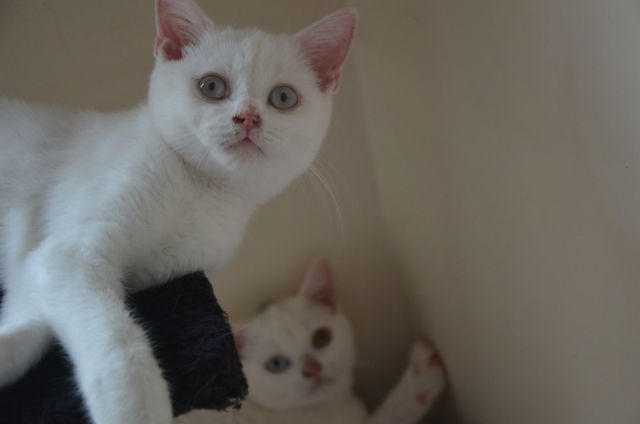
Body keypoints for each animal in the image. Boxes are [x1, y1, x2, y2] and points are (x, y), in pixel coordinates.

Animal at [0, 1, 358, 422]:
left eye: (283, 97)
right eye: (212, 87)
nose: (248, 117)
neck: (200, 194)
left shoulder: (163, 269)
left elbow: (30, 315)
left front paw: (7, 350)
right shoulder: (68, 254)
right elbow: (112, 336)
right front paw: (136, 407)